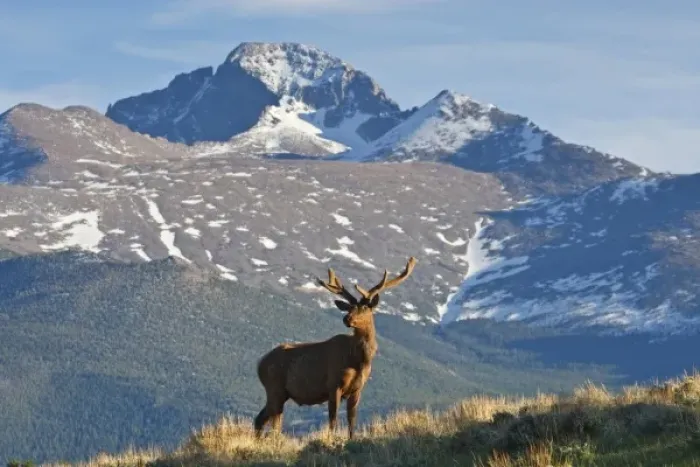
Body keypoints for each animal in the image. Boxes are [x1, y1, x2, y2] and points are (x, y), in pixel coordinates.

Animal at [253, 256, 417, 440]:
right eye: (350, 307)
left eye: (364, 308)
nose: (347, 318)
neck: (359, 360)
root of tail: (259, 364)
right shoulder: (333, 385)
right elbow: (333, 419)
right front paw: (331, 438)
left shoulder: (357, 389)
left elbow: (352, 419)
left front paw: (351, 439)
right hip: (274, 388)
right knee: (272, 422)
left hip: (279, 393)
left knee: (260, 419)